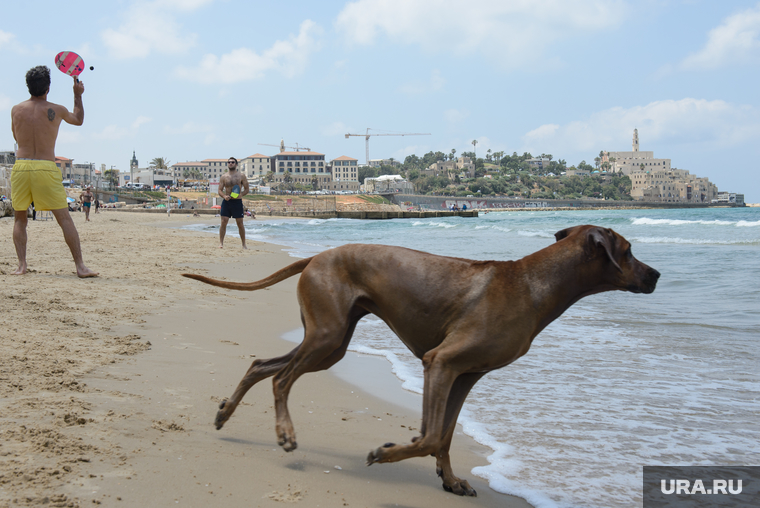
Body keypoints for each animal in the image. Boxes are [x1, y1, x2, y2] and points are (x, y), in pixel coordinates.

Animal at [183, 225, 660, 496]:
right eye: (629, 250)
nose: (657, 275)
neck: (533, 283)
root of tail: (316, 255)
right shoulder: (441, 362)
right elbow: (430, 437)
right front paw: (386, 452)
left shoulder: (466, 375)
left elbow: (445, 436)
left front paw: (450, 480)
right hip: (327, 335)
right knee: (281, 378)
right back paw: (284, 433)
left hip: (330, 342)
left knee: (261, 365)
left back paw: (225, 413)